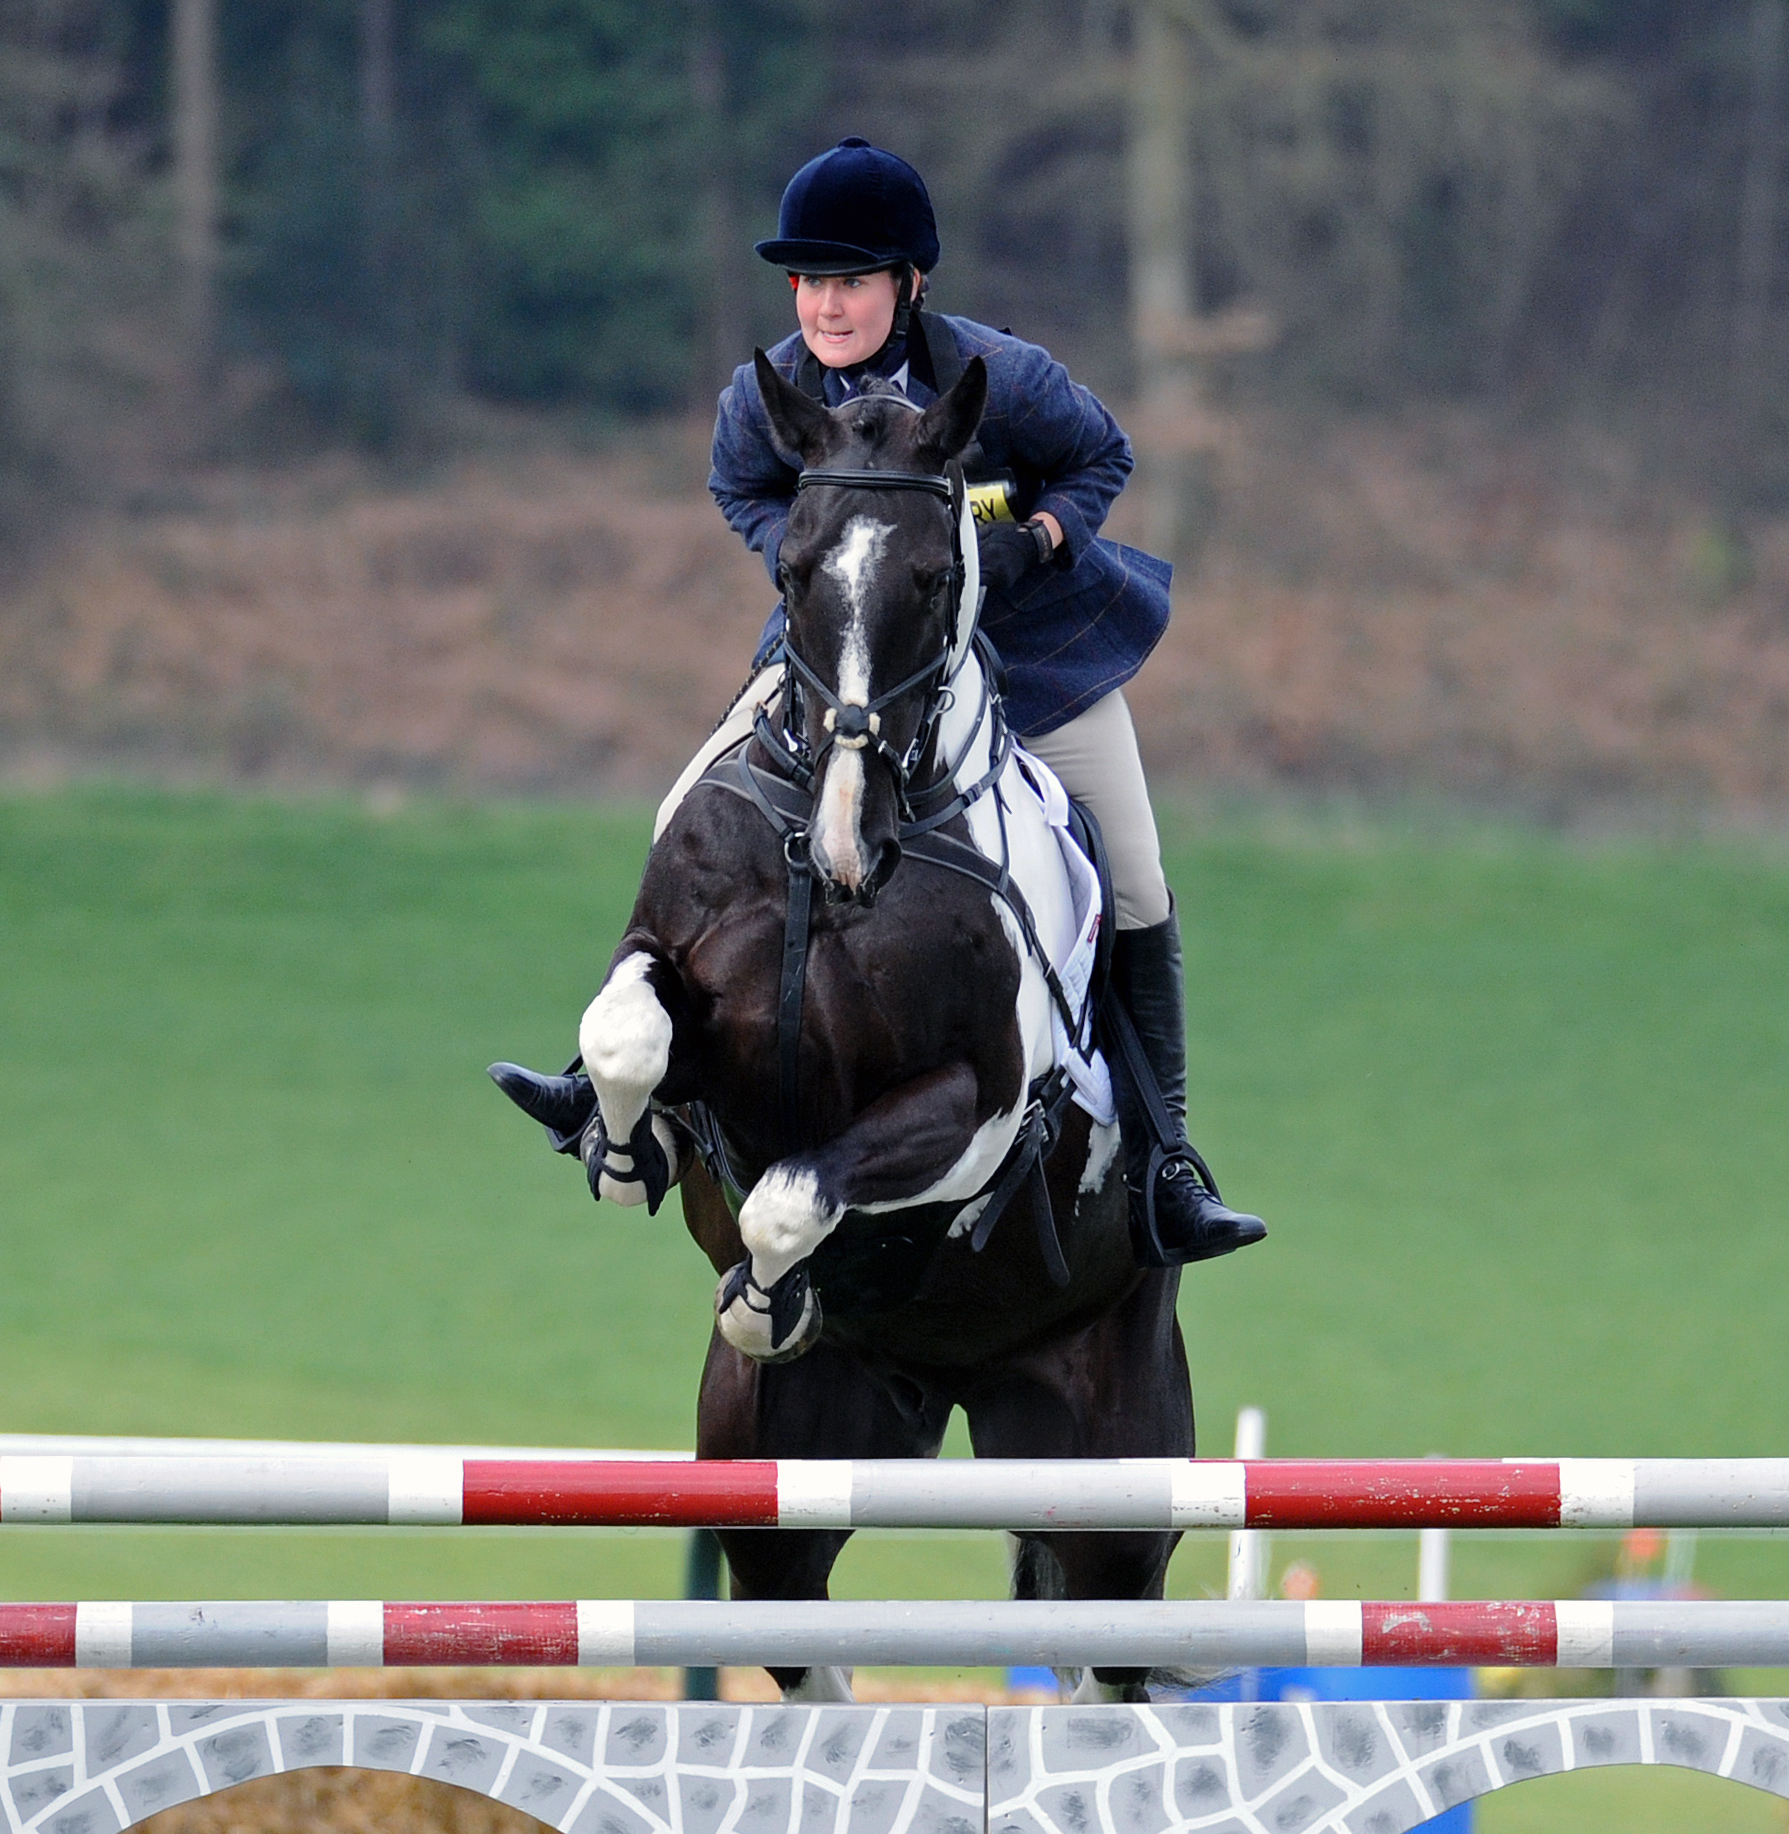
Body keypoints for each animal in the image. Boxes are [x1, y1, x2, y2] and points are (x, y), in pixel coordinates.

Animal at [495, 353, 1195, 1703]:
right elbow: (627, 1039)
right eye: (792, 570)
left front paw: (768, 1295)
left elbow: (790, 1194)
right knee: (803, 1637)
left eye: (935, 578)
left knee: (1108, 1651)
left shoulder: (973, 1106)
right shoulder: (674, 983)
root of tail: (955, 1379)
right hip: (776, 1473)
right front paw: (622, 1149)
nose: (843, 836)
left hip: (1116, 1473)